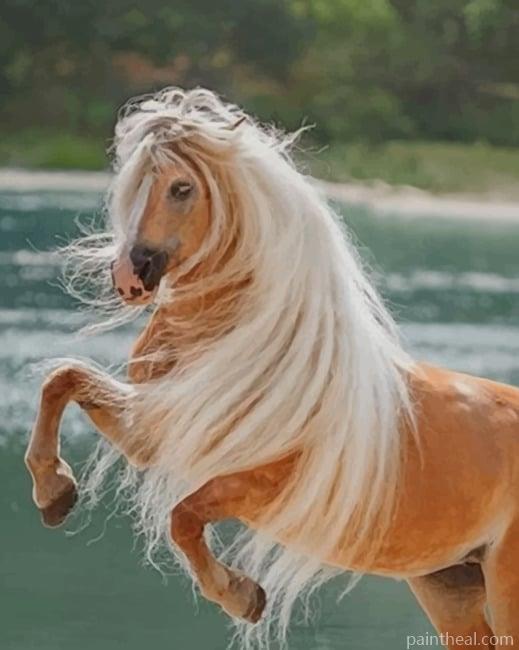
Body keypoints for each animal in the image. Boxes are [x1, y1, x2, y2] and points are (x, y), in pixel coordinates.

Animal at [25, 87, 519, 649]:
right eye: (132, 185)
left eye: (180, 188)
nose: (131, 275)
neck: (271, 362)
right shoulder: (156, 433)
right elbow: (63, 378)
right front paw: (54, 492)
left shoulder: (257, 486)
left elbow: (182, 518)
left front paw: (241, 596)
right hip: (450, 589)